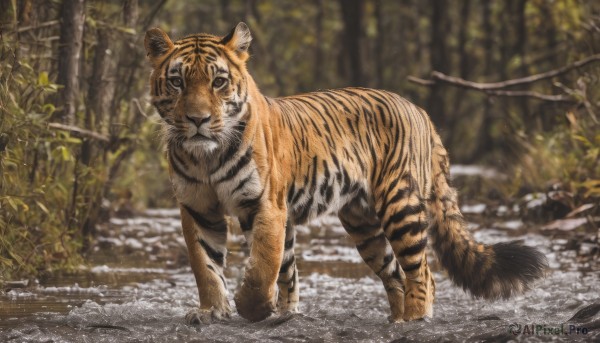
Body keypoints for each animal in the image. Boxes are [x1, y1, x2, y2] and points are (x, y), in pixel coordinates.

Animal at [143, 22, 548, 326]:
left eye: (218, 81)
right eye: (178, 81)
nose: (198, 120)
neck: (205, 156)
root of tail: (419, 109)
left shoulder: (265, 205)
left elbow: (262, 267)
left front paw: (254, 309)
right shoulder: (198, 209)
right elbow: (206, 266)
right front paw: (212, 311)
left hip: (399, 204)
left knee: (423, 272)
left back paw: (416, 320)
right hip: (362, 223)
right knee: (394, 273)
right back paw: (397, 320)